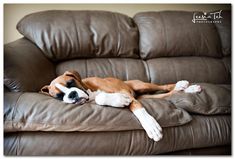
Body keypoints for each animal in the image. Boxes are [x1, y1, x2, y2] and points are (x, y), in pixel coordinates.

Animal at [41, 70, 201, 142]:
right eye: (58, 96)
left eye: (71, 83)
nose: (72, 94)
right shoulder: (127, 96)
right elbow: (100, 98)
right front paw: (118, 100)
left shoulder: (126, 93)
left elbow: (139, 110)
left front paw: (151, 127)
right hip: (146, 95)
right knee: (167, 94)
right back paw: (186, 89)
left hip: (141, 85)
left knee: (164, 87)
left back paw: (184, 85)